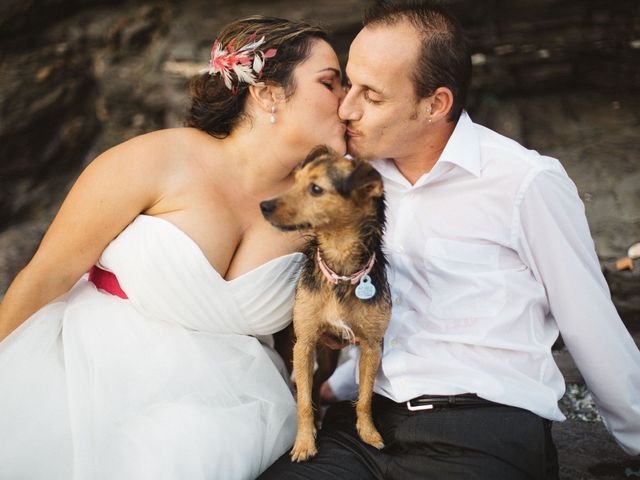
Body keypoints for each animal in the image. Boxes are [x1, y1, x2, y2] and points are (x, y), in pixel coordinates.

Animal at [258, 145, 390, 462]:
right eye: (294, 181)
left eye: (316, 189)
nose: (264, 205)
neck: (340, 271)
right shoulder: (304, 344)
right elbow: (303, 402)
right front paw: (304, 444)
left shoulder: (371, 346)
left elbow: (365, 398)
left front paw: (369, 434)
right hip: (294, 347)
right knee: (304, 384)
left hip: (329, 357)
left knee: (318, 381)